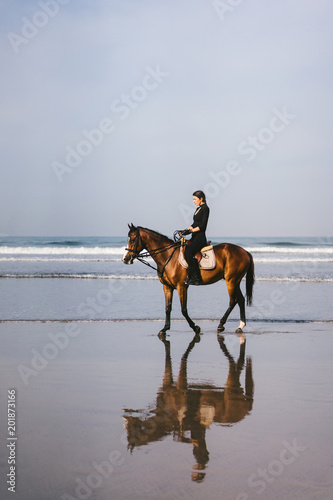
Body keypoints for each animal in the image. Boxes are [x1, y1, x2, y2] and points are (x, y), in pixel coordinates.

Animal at [122, 227, 254, 336]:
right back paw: (240, 326)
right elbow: (167, 308)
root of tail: (245, 252)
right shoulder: (167, 287)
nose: (125, 259)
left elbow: (184, 310)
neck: (168, 256)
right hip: (235, 281)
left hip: (231, 281)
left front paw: (196, 328)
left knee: (233, 301)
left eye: (133, 239)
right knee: (240, 300)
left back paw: (221, 325)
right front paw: (164, 329)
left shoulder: (182, 287)